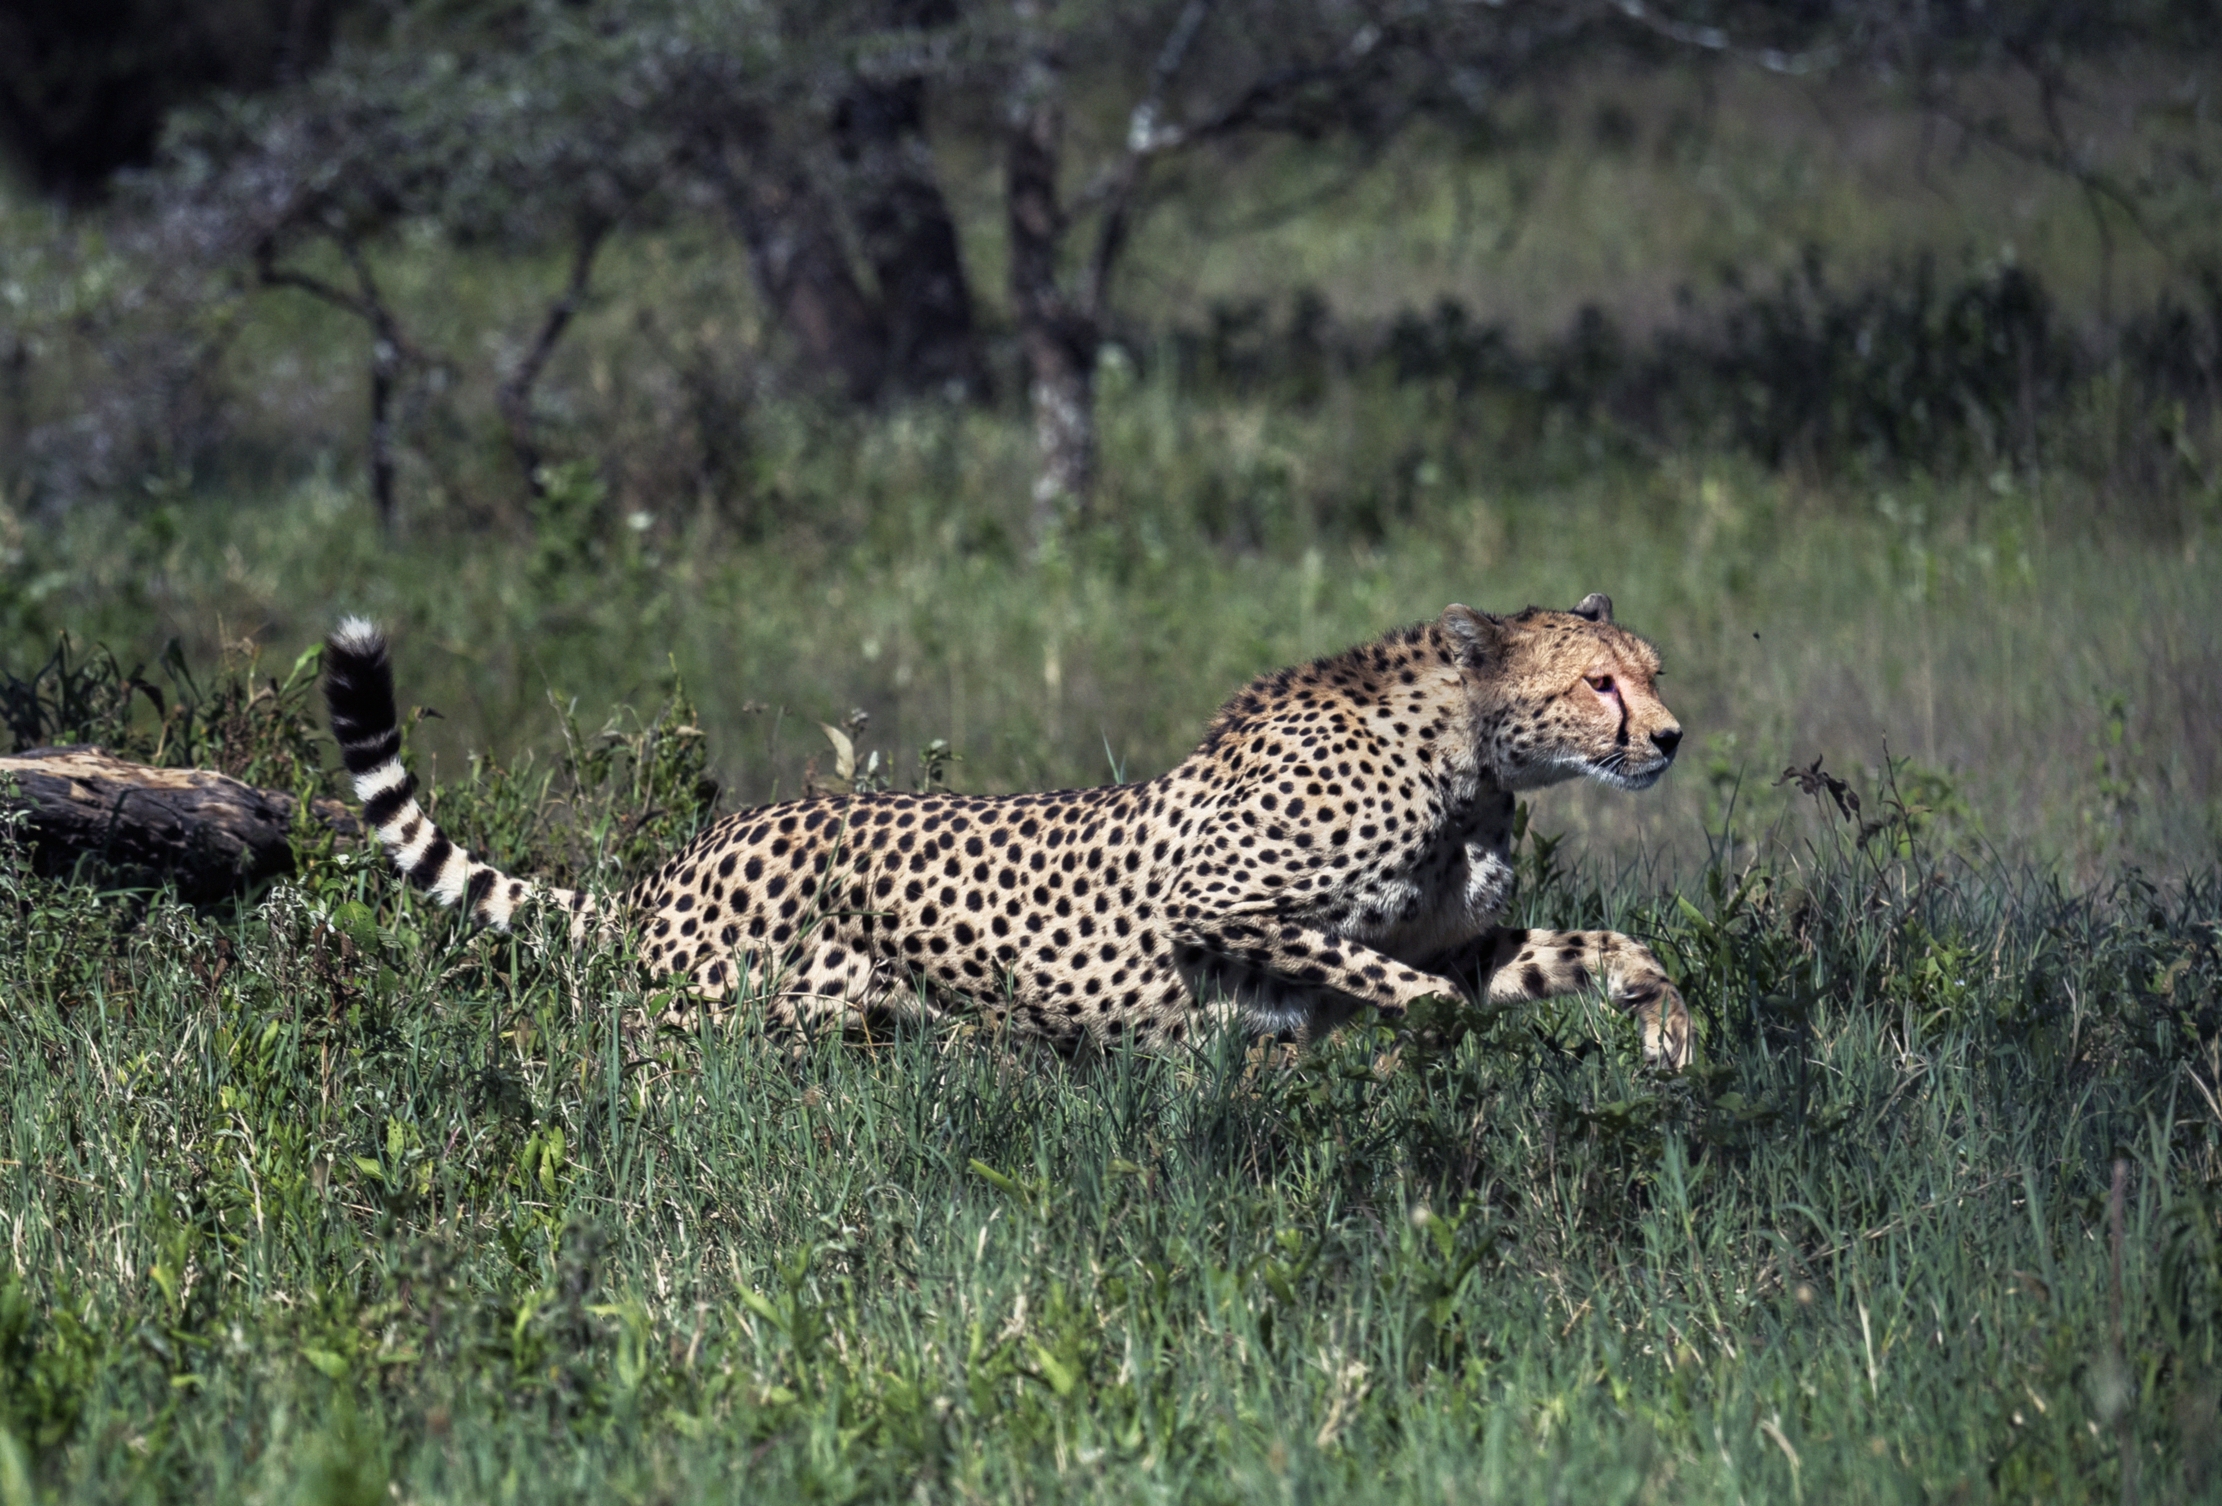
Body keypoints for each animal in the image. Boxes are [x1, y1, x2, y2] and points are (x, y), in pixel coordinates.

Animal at [322, 594, 1692, 1066]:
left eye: (1650, 670)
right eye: (1597, 684)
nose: (1672, 737)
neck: (1465, 764)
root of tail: (680, 860)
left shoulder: (1449, 931)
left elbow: (1575, 949)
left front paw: (1662, 1024)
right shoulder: (1216, 904)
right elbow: (1400, 986)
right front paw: (1432, 1038)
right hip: (692, 1028)